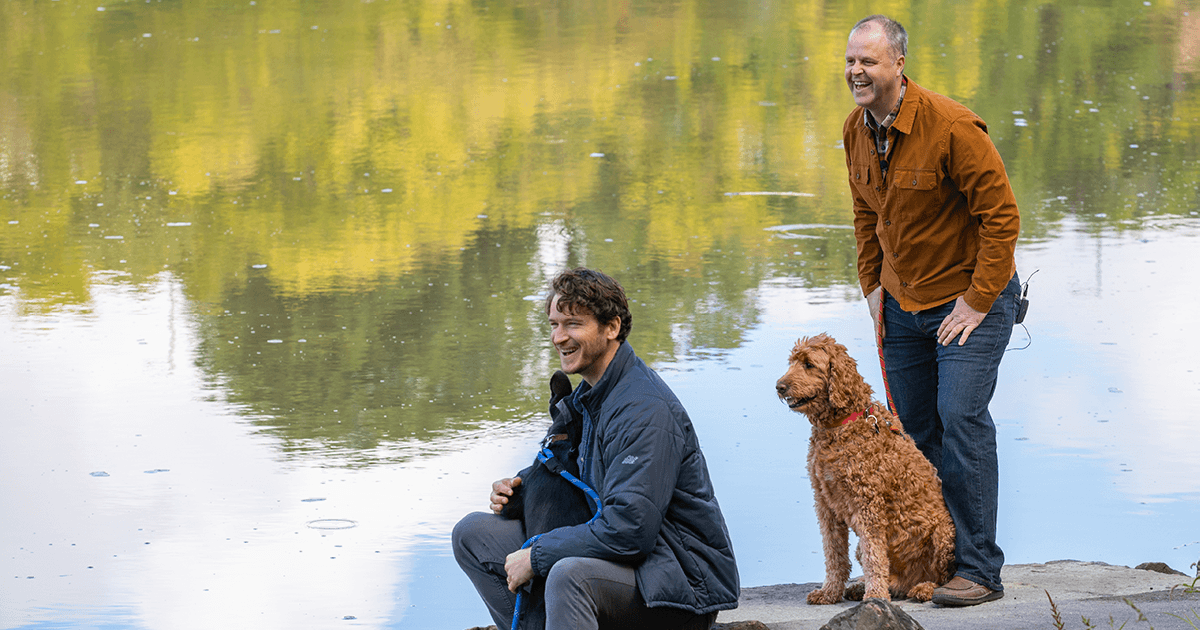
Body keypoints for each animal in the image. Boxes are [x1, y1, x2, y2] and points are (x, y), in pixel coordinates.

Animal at [777, 331, 955, 602]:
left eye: (809, 364)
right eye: (792, 362)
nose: (779, 386)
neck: (841, 425)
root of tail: (910, 579)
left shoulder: (868, 505)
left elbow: (875, 557)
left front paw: (875, 597)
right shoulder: (825, 504)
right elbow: (834, 554)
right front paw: (830, 592)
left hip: (945, 534)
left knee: (942, 577)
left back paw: (923, 588)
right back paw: (862, 588)